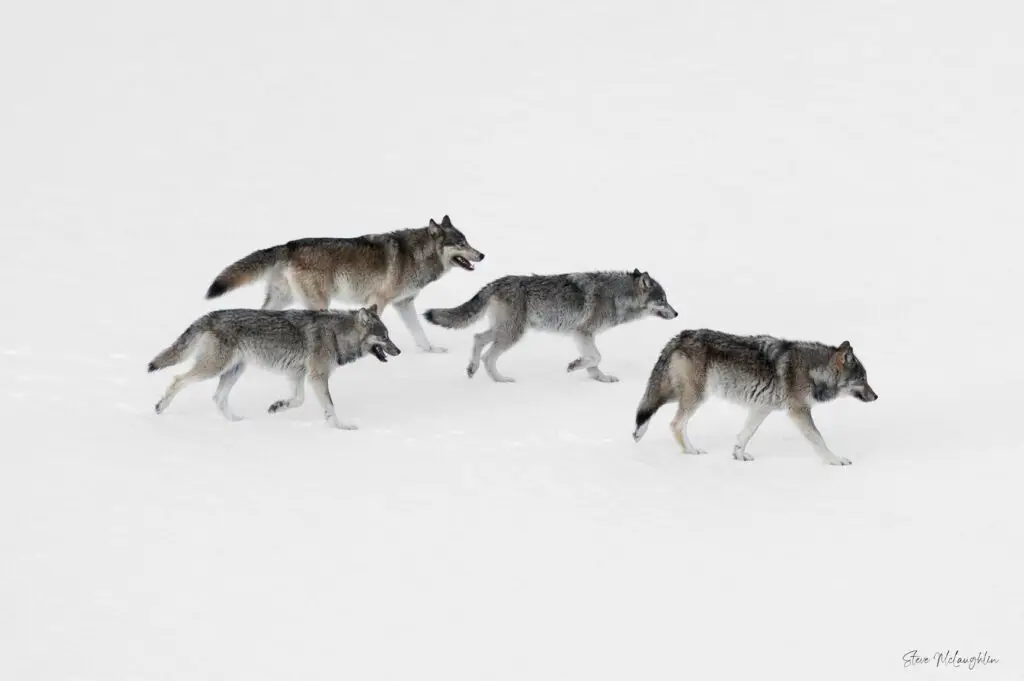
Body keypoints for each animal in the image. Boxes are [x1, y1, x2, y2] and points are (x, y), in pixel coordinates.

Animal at [147, 305, 399, 428]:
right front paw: (341, 427)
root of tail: (210, 315)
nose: (398, 351)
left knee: (218, 398)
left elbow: (298, 400)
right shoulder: (317, 377)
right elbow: (330, 406)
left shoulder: (298, 375)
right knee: (178, 379)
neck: (336, 335)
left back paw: (237, 423)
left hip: (234, 371)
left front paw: (277, 407)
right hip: (214, 368)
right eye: (384, 337)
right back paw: (160, 407)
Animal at [205, 216, 485, 356]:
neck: (416, 256)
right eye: (460, 243)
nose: (482, 255)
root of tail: (288, 246)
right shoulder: (379, 301)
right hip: (318, 303)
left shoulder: (404, 304)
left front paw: (432, 351)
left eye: (468, 241)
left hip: (282, 300)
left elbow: (420, 334)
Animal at [423, 268, 679, 378]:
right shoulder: (583, 333)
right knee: (488, 356)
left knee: (477, 339)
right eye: (663, 300)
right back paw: (500, 380)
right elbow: (596, 357)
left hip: (504, 331)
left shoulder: (584, 336)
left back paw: (472, 369)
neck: (616, 295)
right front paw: (574, 366)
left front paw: (600, 378)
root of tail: (496, 282)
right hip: (512, 334)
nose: (677, 313)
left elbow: (594, 361)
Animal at [630, 327, 880, 464]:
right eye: (862, 379)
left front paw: (739, 456)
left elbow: (746, 434)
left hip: (680, 393)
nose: (876, 396)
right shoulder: (798, 411)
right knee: (674, 423)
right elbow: (818, 439)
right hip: (696, 397)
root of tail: (680, 336)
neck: (813, 370)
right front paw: (835, 461)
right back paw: (691, 450)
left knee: (650, 409)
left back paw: (640, 434)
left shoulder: (762, 408)